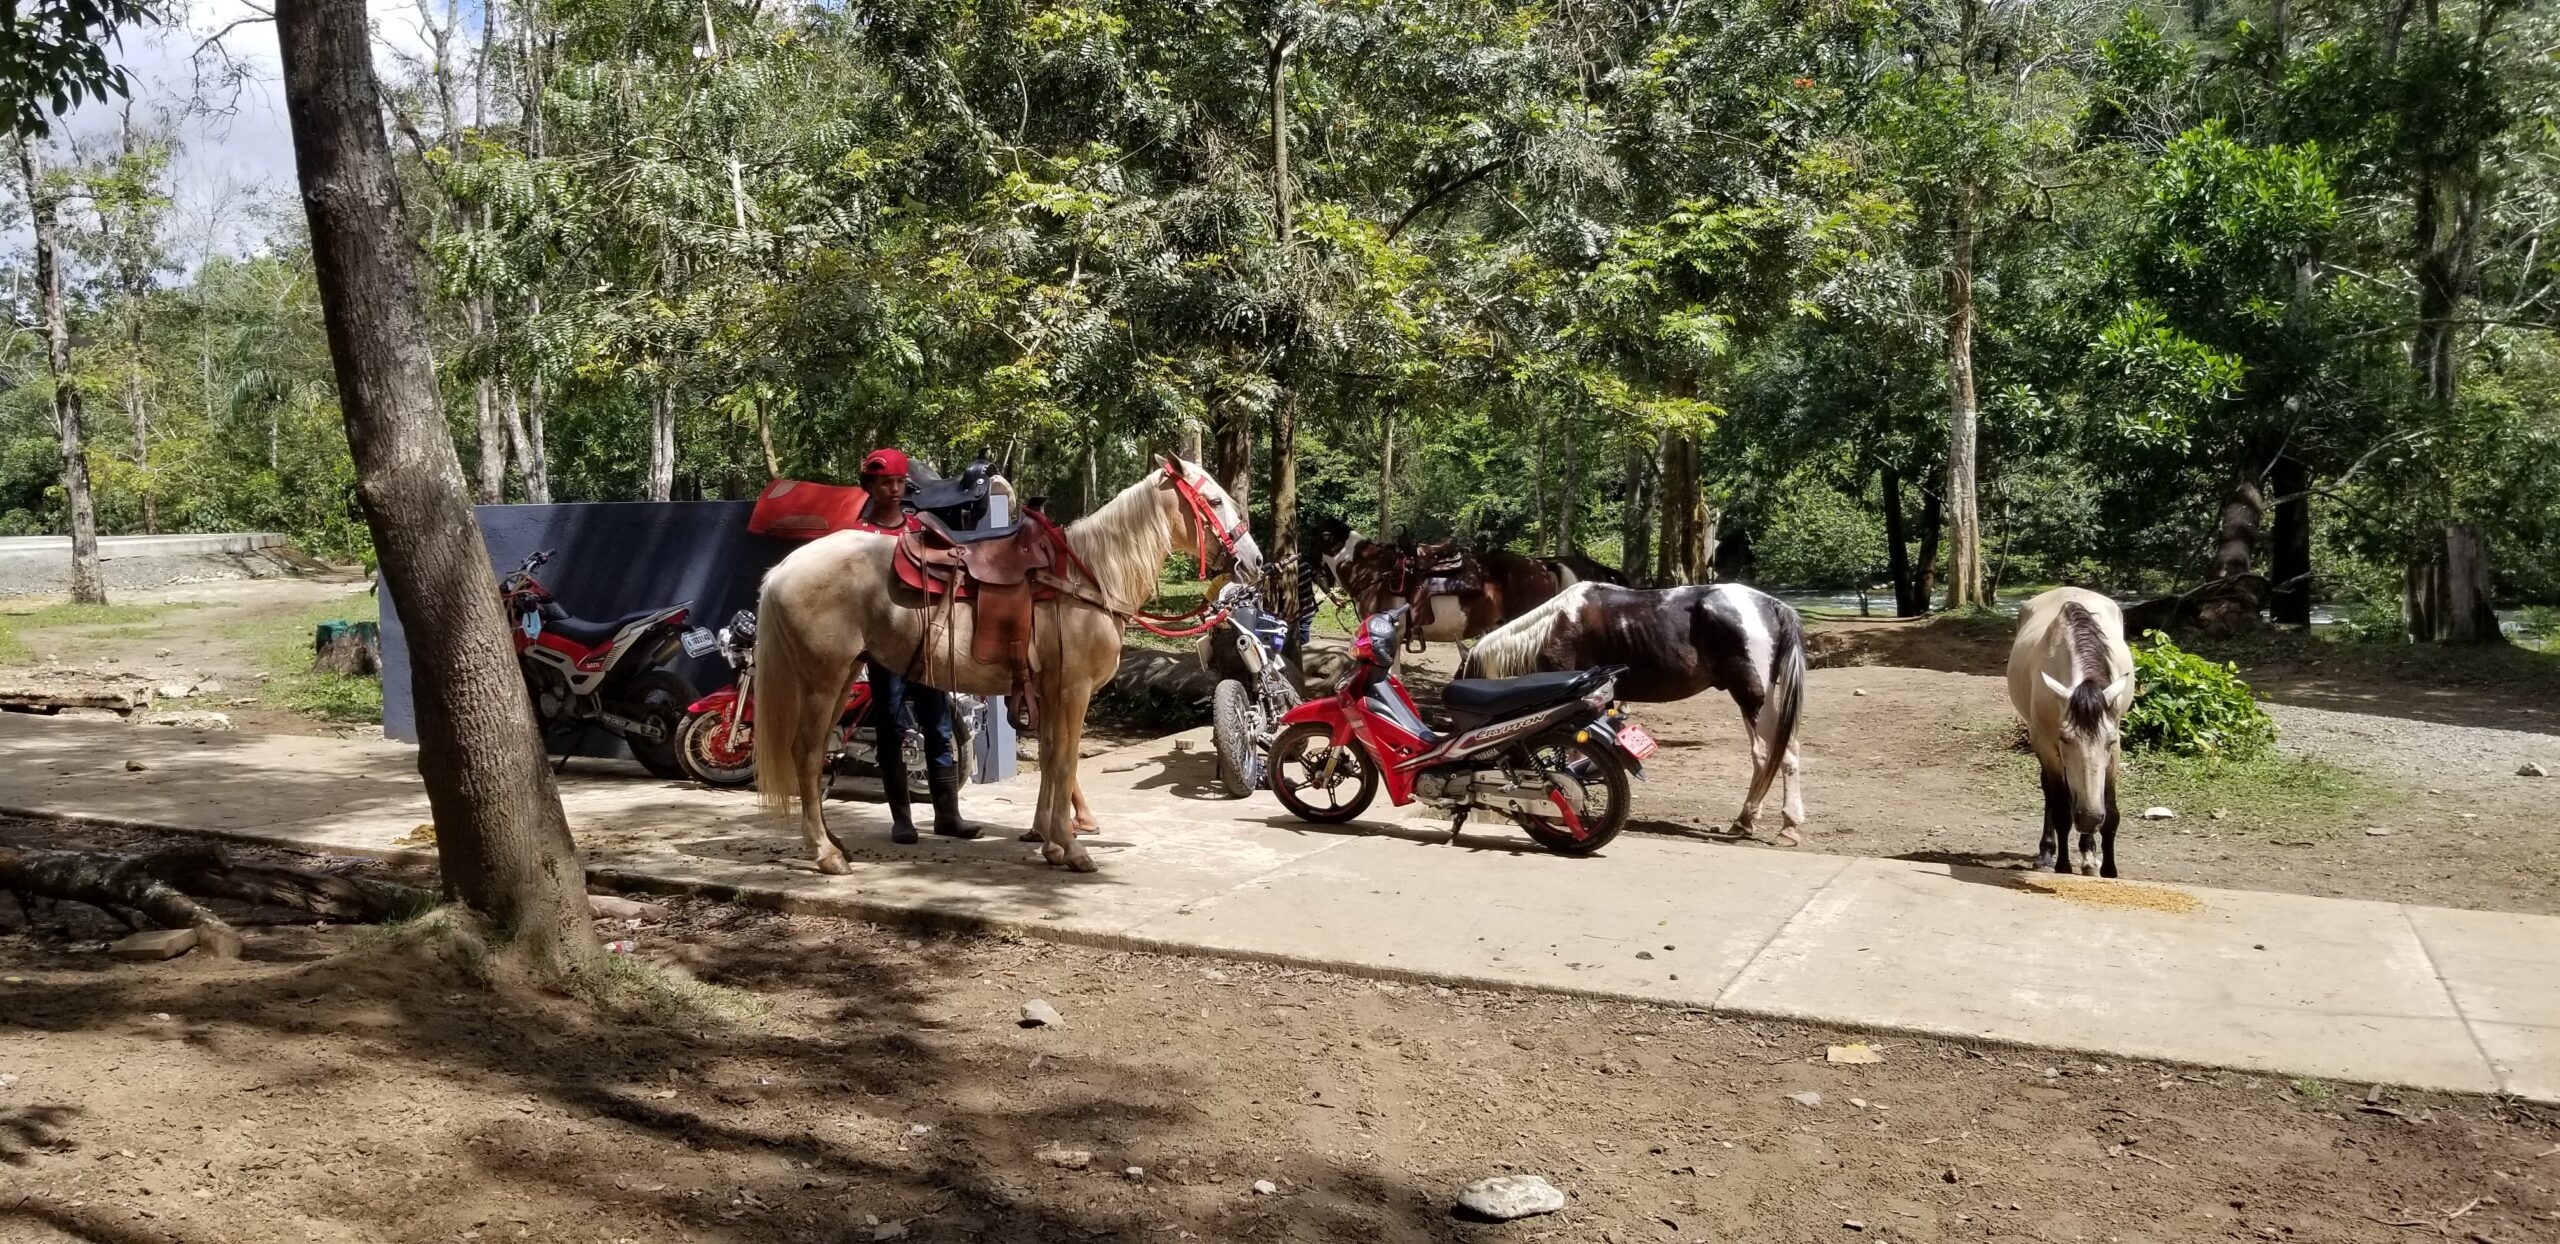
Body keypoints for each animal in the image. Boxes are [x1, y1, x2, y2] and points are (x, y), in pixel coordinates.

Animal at [747, 455, 1259, 875]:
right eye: (1214, 500)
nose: (1253, 561)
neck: (1088, 576)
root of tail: (783, 569)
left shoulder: (1048, 692)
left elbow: (1052, 759)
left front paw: (1049, 842)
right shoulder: (1073, 690)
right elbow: (1065, 762)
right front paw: (1072, 850)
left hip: (844, 677)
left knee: (817, 756)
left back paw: (835, 842)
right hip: (821, 679)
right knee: (805, 755)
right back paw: (825, 853)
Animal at [1454, 583, 1812, 844]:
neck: (1553, 629)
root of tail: (1770, 605)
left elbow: (1569, 757)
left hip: (1753, 698)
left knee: (1772, 754)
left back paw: (1773, 825)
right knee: (1779, 754)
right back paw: (1760, 823)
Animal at [1996, 588, 2140, 880]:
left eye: (2110, 741)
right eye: (2065, 739)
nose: (2089, 818)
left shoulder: (2115, 749)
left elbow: (2111, 811)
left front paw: (2108, 869)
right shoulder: (2046, 744)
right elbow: (2061, 809)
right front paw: (2062, 865)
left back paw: (2088, 854)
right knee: (2052, 795)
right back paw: (2047, 852)